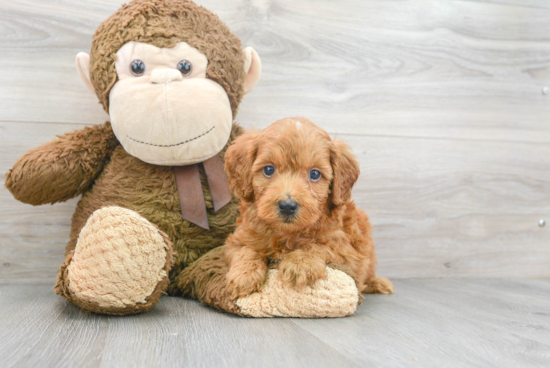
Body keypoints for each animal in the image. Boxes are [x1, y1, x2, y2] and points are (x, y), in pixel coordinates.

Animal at [222, 117, 394, 300]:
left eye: (315, 174)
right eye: (268, 169)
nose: (287, 206)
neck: (286, 234)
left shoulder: (344, 248)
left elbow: (318, 245)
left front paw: (299, 263)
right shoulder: (238, 238)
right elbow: (245, 250)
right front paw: (244, 275)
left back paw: (378, 282)